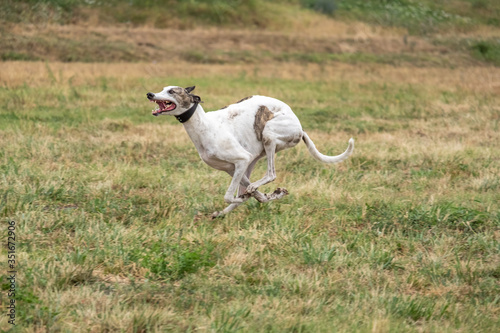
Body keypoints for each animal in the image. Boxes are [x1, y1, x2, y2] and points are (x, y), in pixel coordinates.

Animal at [146, 85, 354, 217]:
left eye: (171, 91)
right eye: (162, 88)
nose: (150, 94)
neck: (204, 125)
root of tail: (300, 128)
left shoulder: (241, 159)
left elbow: (229, 196)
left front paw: (253, 196)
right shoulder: (232, 168)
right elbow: (252, 196)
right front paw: (272, 195)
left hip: (268, 135)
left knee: (270, 174)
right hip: (252, 161)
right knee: (251, 186)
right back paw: (224, 212)